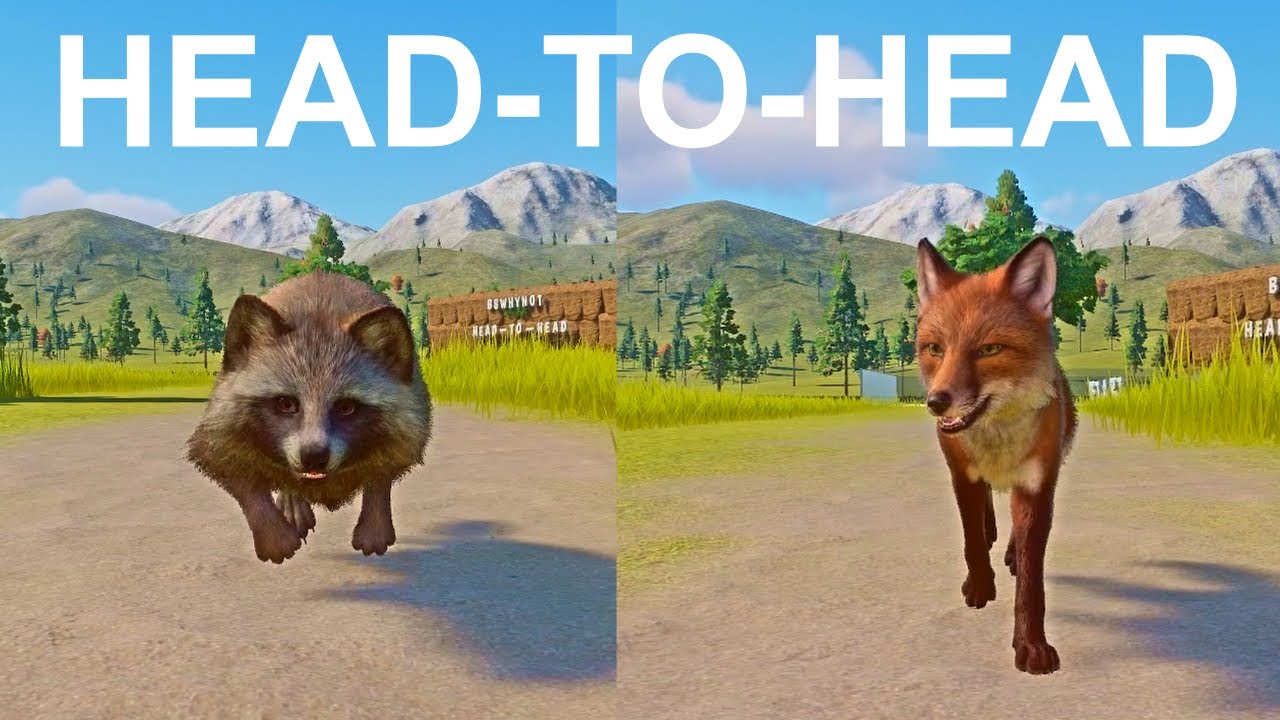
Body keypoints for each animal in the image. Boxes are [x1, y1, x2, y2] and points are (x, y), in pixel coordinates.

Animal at [186, 271, 432, 564]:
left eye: (346, 407)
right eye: (286, 403)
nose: (314, 456)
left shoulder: (411, 412)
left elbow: (386, 467)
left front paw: (375, 517)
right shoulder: (223, 419)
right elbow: (228, 466)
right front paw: (271, 529)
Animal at [914, 236, 1076, 675]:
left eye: (989, 349)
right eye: (934, 349)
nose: (936, 403)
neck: (998, 444)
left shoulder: (1038, 485)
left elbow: (1032, 582)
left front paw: (1031, 645)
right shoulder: (963, 474)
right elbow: (971, 538)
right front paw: (980, 585)